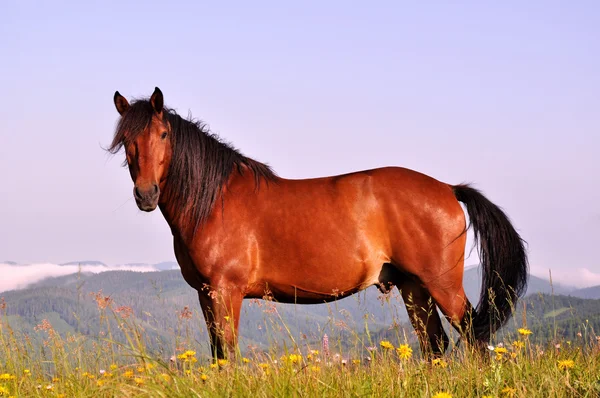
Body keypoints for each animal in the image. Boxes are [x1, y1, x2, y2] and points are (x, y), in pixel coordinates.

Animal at [109, 86, 528, 360]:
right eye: (125, 140)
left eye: (163, 134)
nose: (146, 194)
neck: (214, 201)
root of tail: (448, 189)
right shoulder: (205, 293)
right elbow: (217, 355)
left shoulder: (225, 292)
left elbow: (227, 355)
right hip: (414, 287)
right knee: (435, 345)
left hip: (441, 285)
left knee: (472, 338)